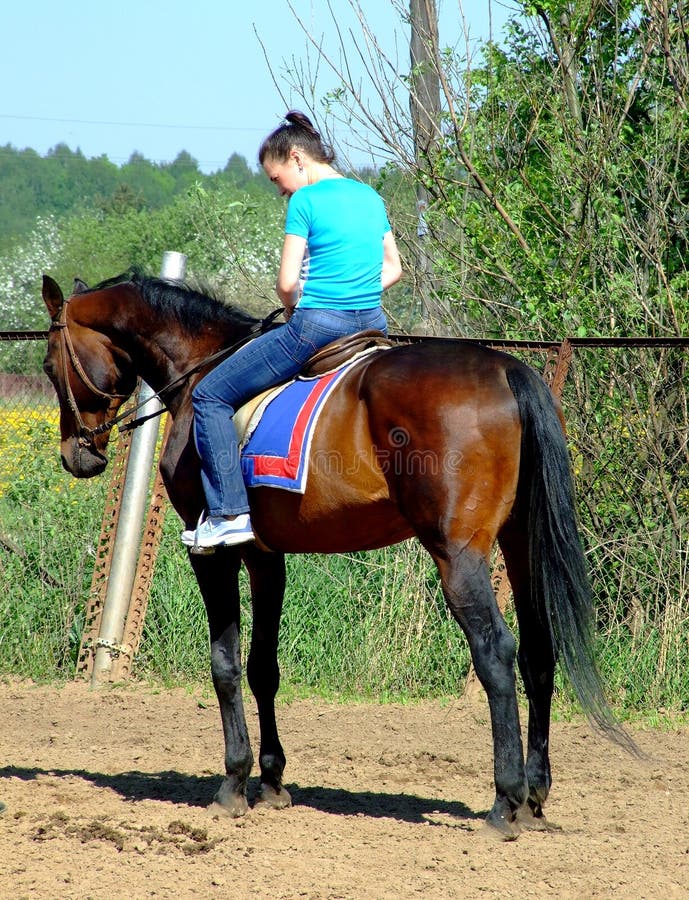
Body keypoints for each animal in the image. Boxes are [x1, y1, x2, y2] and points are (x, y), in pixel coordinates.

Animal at [40, 268, 628, 836]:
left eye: (48, 366)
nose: (77, 455)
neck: (200, 368)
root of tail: (507, 370)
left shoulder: (212, 553)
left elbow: (225, 664)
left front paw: (234, 782)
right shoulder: (264, 556)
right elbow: (263, 666)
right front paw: (271, 780)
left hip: (457, 555)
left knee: (496, 653)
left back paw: (505, 802)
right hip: (520, 545)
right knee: (538, 653)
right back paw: (534, 795)